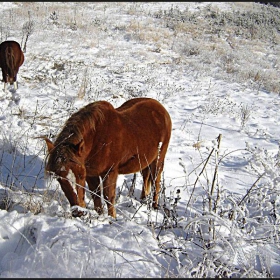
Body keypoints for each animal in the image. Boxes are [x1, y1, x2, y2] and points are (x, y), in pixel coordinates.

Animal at [43, 98, 172, 219]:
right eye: (58, 178)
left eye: (80, 176)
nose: (77, 212)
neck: (97, 139)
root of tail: (161, 108)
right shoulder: (91, 174)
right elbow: (96, 196)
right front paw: (100, 215)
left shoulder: (110, 172)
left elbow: (108, 197)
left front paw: (112, 218)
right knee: (146, 176)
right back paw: (143, 199)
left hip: (159, 158)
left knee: (156, 181)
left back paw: (154, 206)